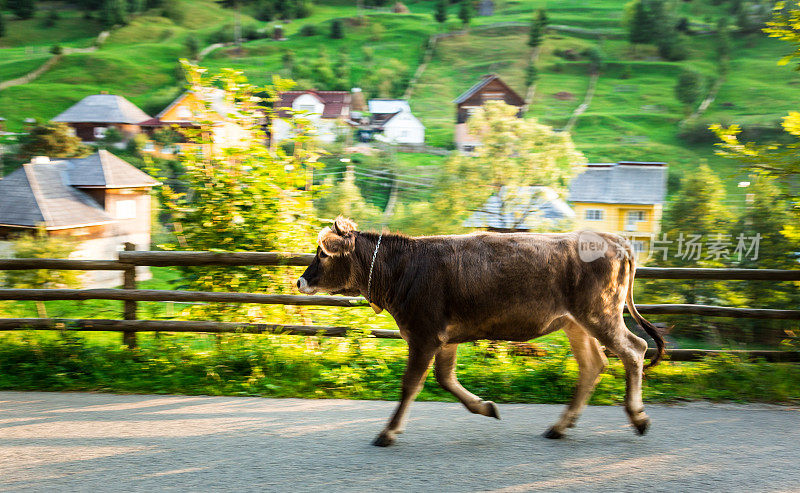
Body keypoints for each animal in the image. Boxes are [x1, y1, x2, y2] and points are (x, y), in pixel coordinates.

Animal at [296, 215, 664, 446]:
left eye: (321, 254)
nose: (300, 281)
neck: (404, 268)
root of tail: (615, 239)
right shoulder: (443, 338)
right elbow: (445, 379)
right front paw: (485, 407)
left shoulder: (423, 334)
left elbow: (410, 385)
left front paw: (388, 433)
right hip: (577, 322)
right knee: (593, 365)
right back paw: (560, 426)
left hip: (600, 314)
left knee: (635, 349)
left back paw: (638, 417)